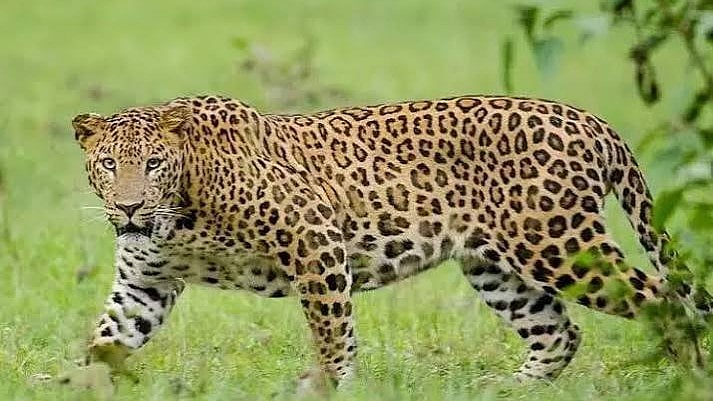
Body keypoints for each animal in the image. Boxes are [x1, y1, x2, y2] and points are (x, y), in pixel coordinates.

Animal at [68, 94, 710, 390]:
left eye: (153, 164)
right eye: (109, 164)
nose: (129, 206)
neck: (179, 215)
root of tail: (589, 120)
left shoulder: (315, 238)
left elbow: (333, 332)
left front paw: (330, 388)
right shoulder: (145, 281)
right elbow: (108, 340)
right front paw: (81, 386)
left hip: (557, 244)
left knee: (665, 302)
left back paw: (684, 381)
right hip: (496, 266)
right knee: (559, 332)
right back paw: (510, 391)